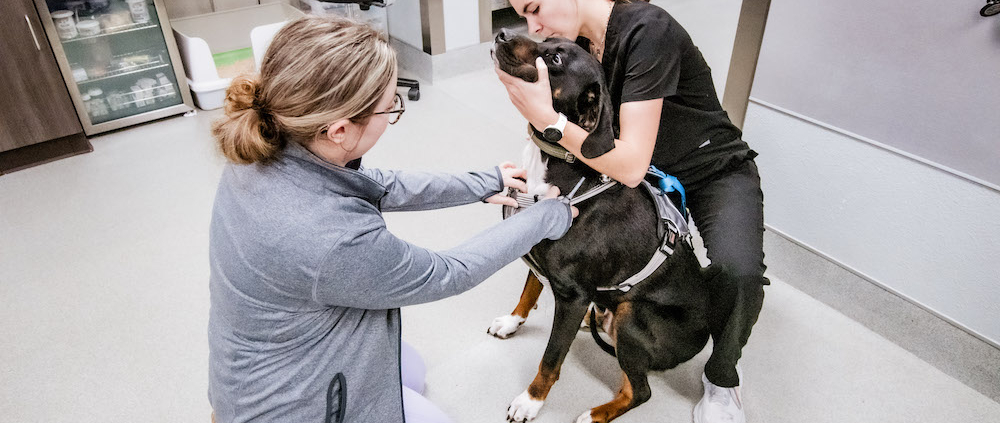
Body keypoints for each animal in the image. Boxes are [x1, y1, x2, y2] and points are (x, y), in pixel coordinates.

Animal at [488, 30, 716, 423]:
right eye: (546, 39)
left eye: (555, 60)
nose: (502, 33)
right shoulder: (539, 262)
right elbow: (528, 293)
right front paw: (511, 322)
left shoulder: (573, 296)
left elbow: (551, 358)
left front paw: (531, 401)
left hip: (631, 316)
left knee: (640, 390)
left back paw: (595, 414)